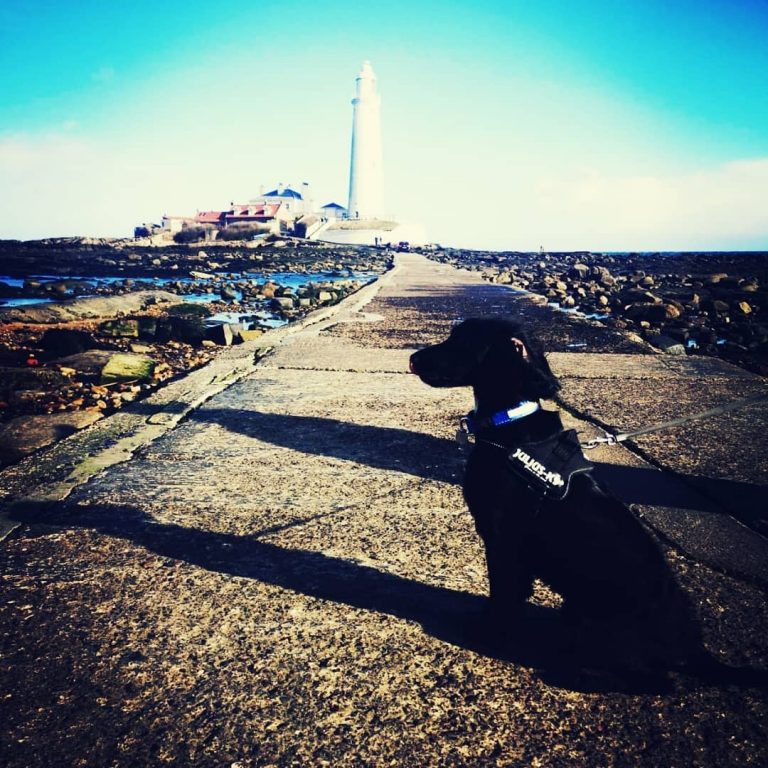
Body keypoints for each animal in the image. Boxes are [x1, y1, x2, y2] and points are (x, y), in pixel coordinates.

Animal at [412, 318, 716, 684]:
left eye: (462, 341)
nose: (413, 359)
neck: (509, 423)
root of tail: (693, 649)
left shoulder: (502, 540)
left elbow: (502, 594)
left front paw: (486, 633)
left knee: (656, 679)